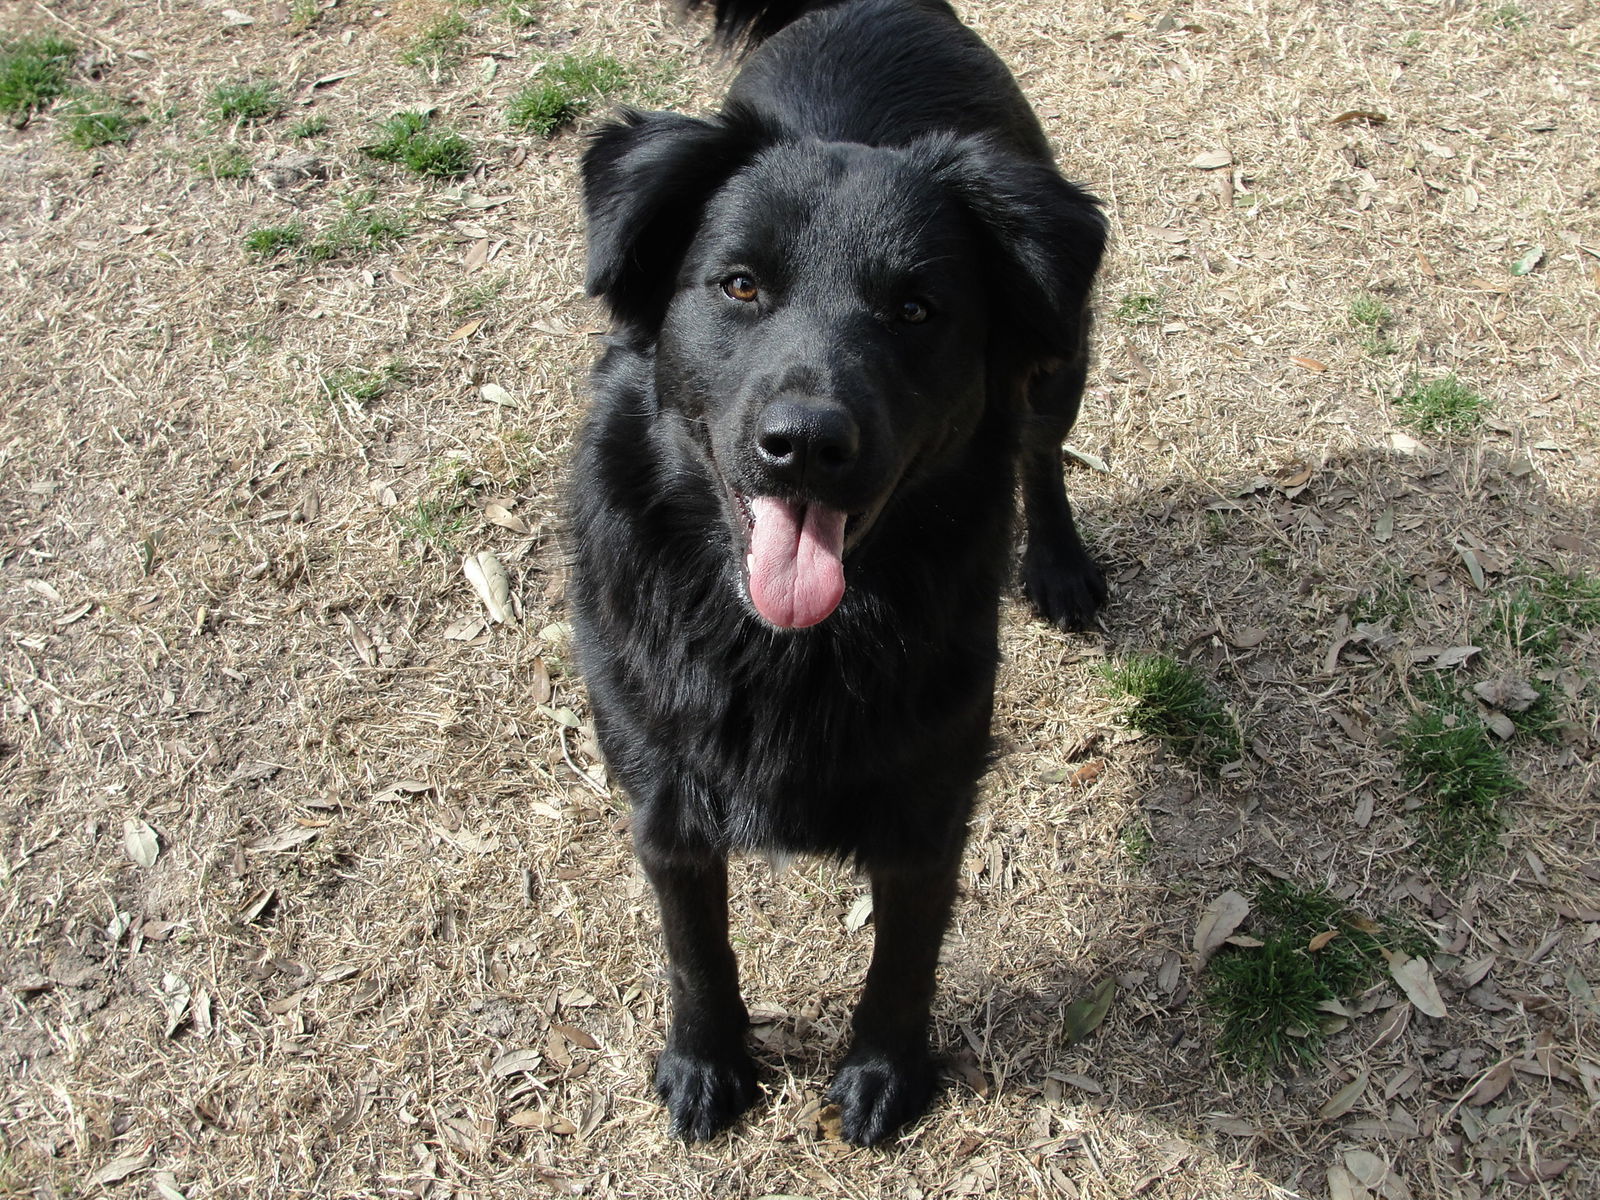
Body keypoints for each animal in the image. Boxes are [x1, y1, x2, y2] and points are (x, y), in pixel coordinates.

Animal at [569, 0, 1107, 1145]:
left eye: (915, 310)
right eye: (739, 285)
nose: (805, 444)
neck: (785, 644)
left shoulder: (933, 795)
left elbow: (904, 957)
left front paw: (883, 1073)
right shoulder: (661, 791)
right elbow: (695, 949)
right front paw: (707, 1062)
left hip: (1061, 356)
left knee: (1040, 445)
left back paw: (1060, 564)